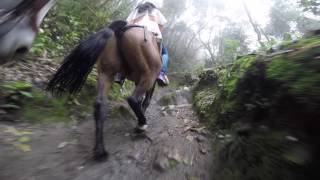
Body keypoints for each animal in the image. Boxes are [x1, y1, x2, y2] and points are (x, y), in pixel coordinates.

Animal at [45, 20, 162, 160]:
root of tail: (121, 28)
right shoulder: (151, 83)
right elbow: (146, 101)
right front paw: (141, 118)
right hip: (149, 74)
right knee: (132, 99)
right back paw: (142, 125)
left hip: (106, 73)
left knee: (100, 104)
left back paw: (100, 150)